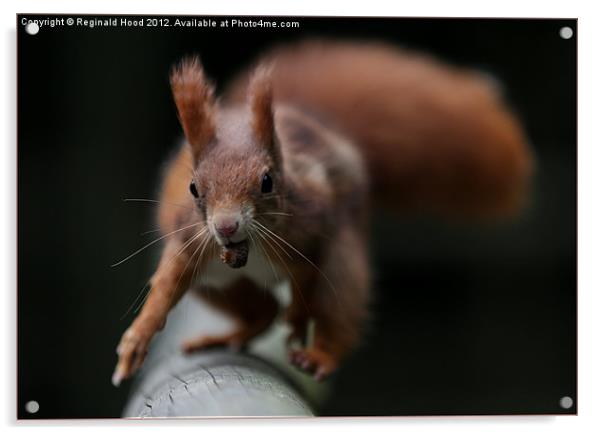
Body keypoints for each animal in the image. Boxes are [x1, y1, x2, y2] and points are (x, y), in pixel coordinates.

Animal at [111, 39, 528, 386]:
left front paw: (298, 319)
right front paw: (137, 339)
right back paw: (227, 335)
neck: (250, 247)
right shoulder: (190, 240)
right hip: (217, 282)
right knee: (262, 309)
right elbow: (167, 285)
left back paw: (320, 353)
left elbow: (305, 279)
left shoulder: (312, 231)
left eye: (267, 181)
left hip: (343, 260)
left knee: (330, 304)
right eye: (194, 188)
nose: (226, 226)